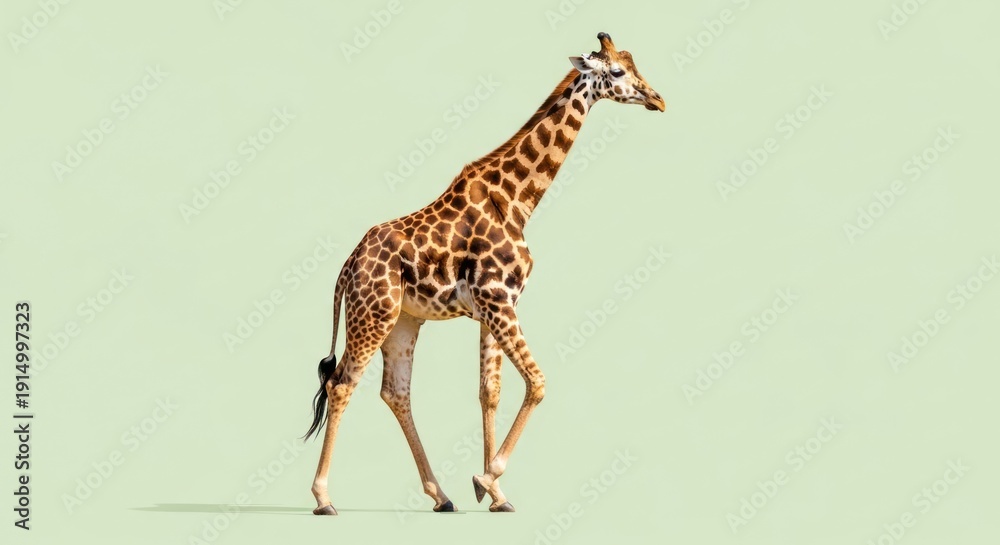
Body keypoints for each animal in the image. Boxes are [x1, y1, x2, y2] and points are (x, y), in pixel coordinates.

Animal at [305, 32, 665, 515]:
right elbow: (537, 382)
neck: (515, 200)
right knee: (342, 385)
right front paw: (487, 477)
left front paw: (496, 495)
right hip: (372, 314)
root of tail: (347, 267)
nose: (659, 99)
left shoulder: (495, 306)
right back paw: (324, 498)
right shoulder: (499, 301)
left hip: (403, 321)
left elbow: (488, 392)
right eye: (619, 71)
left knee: (395, 392)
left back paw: (440, 496)